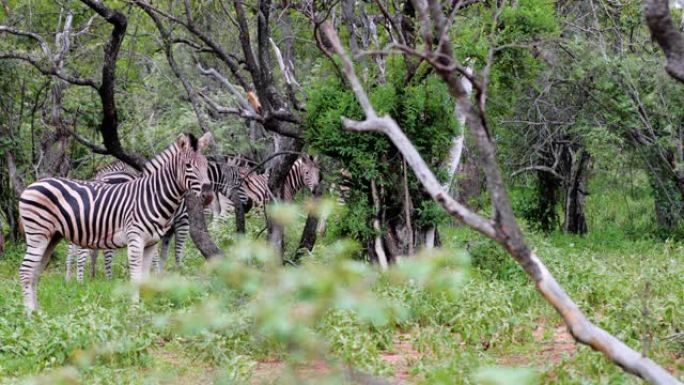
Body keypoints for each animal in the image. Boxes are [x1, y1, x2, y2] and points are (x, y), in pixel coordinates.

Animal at [18, 134, 212, 310]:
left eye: (206, 165)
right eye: (188, 166)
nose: (208, 196)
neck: (152, 196)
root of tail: (31, 185)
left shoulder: (151, 243)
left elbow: (145, 276)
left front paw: (143, 309)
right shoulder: (136, 239)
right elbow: (136, 275)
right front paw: (134, 309)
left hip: (52, 236)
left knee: (36, 271)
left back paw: (37, 312)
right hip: (38, 234)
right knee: (26, 271)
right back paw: (29, 315)